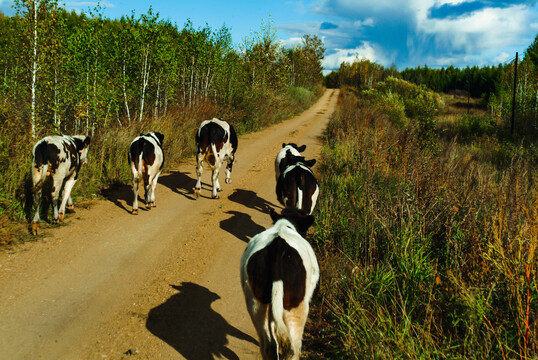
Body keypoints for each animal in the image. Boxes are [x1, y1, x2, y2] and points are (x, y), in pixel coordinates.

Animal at [239, 207, 318, 358]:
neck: (284, 225)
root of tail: (278, 245)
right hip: (296, 307)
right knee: (293, 348)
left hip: (256, 303)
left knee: (267, 345)